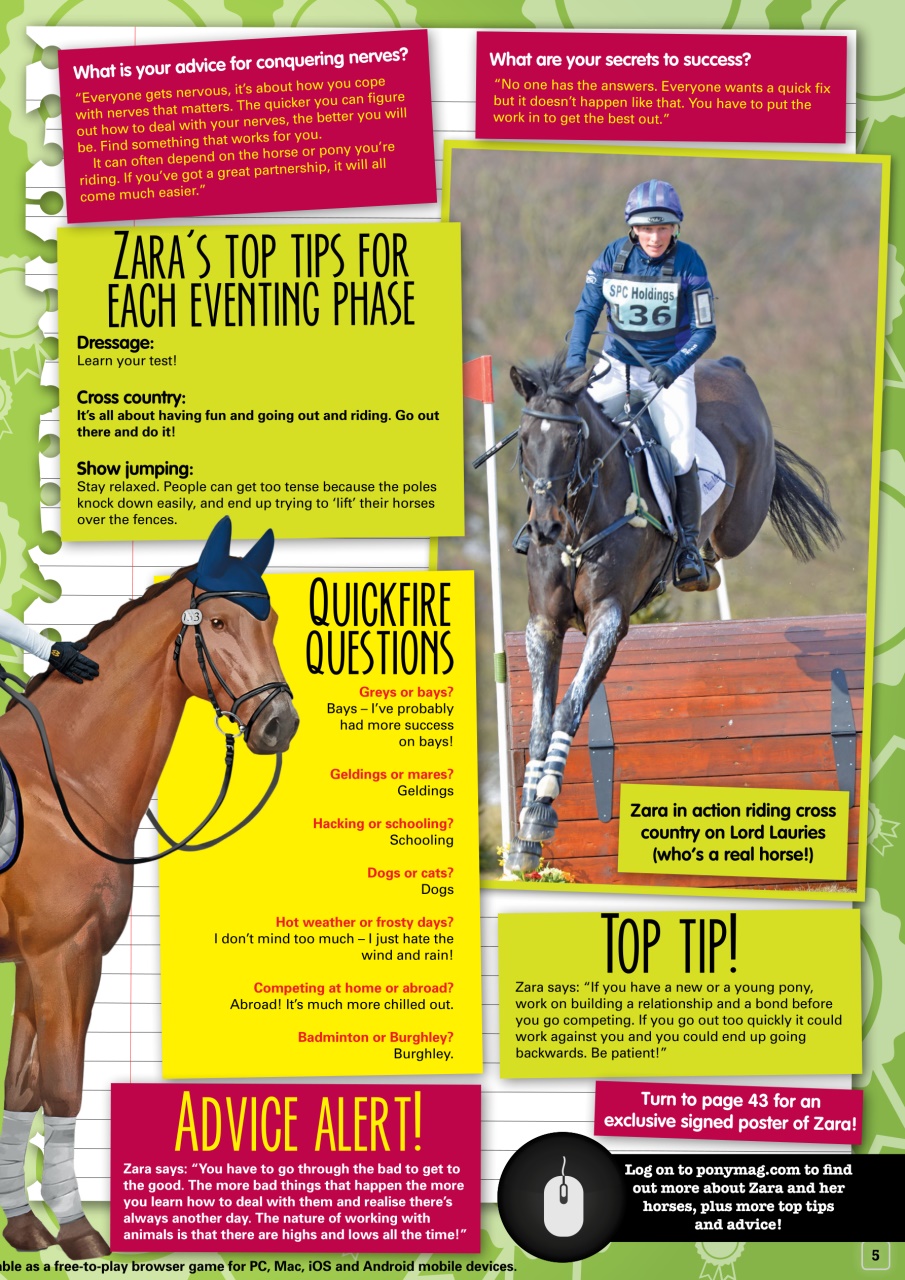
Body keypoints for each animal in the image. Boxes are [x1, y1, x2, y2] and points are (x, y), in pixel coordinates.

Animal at [0, 520, 298, 1259]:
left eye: (270, 620)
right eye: (216, 622)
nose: (278, 724)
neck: (64, 785)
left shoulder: (34, 965)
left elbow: (20, 1088)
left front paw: (24, 1227)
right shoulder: (64, 958)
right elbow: (63, 1088)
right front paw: (79, 1232)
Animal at [506, 353, 841, 875]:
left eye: (572, 440)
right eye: (524, 440)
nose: (544, 528)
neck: (579, 522)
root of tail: (729, 367)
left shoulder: (609, 619)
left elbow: (569, 707)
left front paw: (542, 808)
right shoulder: (543, 626)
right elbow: (541, 722)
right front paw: (525, 835)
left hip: (742, 519)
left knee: (729, 529)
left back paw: (699, 565)